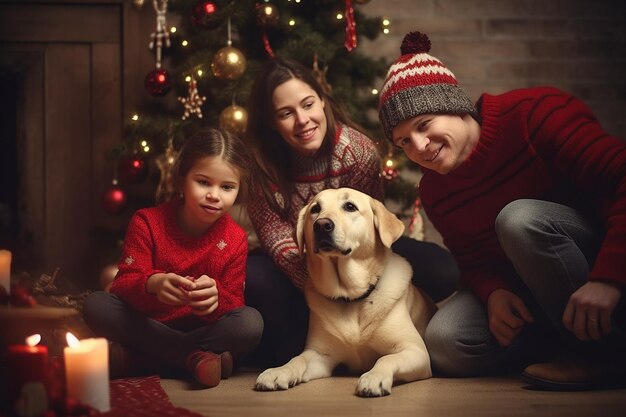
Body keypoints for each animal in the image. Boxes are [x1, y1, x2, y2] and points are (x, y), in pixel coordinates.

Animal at [254, 187, 434, 394]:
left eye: (350, 206)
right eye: (315, 209)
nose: (321, 225)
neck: (351, 297)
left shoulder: (415, 350)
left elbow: (386, 358)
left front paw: (374, 377)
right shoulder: (319, 355)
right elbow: (297, 359)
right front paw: (279, 371)